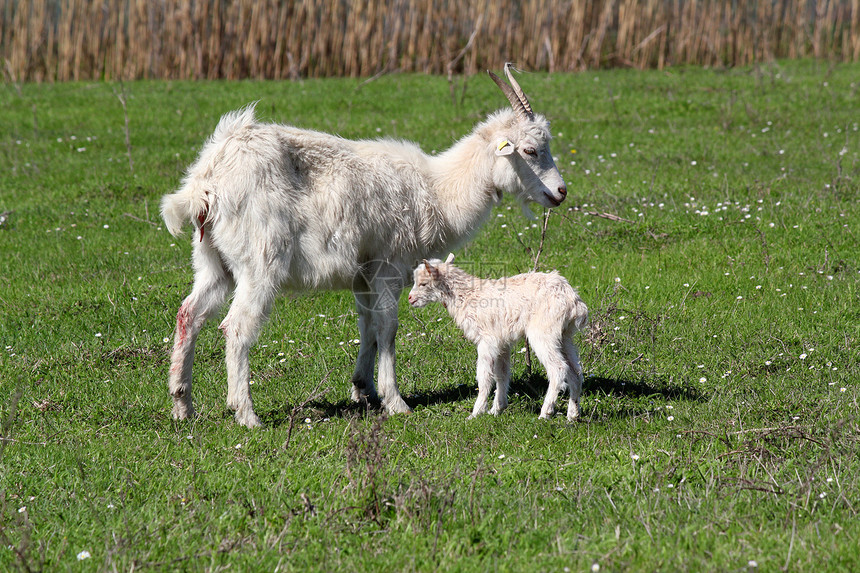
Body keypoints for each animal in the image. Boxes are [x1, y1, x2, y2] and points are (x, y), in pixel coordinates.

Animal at [408, 255, 584, 420]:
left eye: (423, 284)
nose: (410, 298)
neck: (466, 295)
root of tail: (574, 302)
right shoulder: (502, 341)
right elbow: (502, 373)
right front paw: (497, 409)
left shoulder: (487, 340)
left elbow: (484, 375)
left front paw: (476, 413)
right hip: (564, 335)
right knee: (575, 371)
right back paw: (572, 414)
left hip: (543, 331)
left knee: (558, 368)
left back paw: (545, 413)